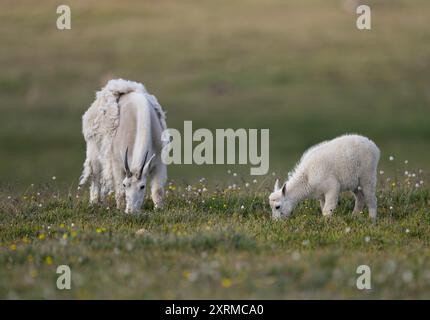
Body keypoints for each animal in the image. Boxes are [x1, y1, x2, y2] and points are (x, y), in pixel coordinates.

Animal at [80, 78, 167, 212]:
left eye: (142, 186)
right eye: (125, 184)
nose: (130, 211)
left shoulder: (159, 163)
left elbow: (158, 191)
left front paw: (159, 209)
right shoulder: (116, 163)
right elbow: (120, 191)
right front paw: (120, 209)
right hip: (93, 148)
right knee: (95, 176)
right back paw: (94, 203)